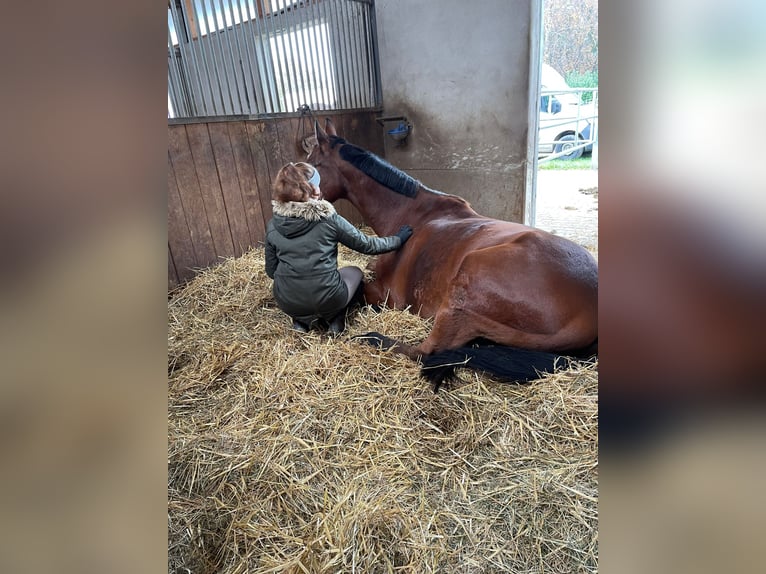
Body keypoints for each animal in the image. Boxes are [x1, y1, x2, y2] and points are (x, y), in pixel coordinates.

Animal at [306, 119, 600, 394]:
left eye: (311, 165)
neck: (411, 213)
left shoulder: (386, 295)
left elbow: (354, 292)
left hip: (465, 287)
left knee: (426, 351)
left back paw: (371, 338)